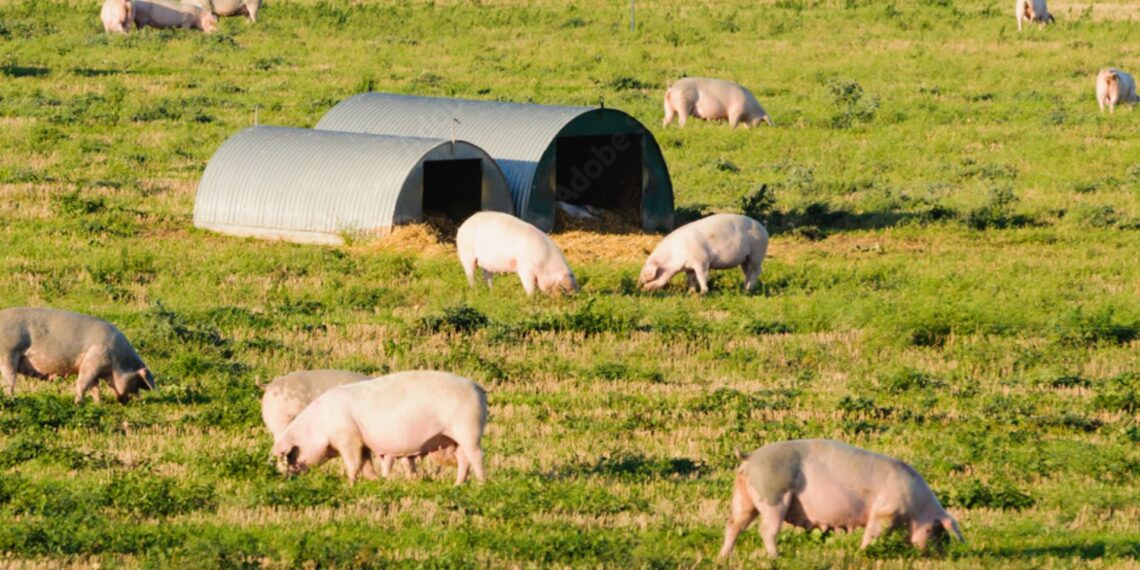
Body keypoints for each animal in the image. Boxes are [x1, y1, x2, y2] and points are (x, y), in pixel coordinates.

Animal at [0, 307, 155, 404]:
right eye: (135, 381)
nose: (133, 402)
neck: (116, 361)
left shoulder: (96, 369)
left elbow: (94, 388)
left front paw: (99, 404)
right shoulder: (93, 360)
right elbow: (83, 383)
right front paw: (77, 404)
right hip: (8, 353)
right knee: (9, 383)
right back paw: (11, 399)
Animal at [271, 370, 486, 486]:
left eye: (292, 455)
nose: (288, 478)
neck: (320, 424)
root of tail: (478, 387)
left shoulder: (348, 437)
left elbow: (353, 463)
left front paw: (350, 484)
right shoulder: (363, 442)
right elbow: (366, 464)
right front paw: (377, 481)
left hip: (469, 428)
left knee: (477, 456)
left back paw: (481, 484)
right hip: (455, 438)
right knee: (463, 459)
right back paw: (457, 485)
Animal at [638, 213, 768, 294]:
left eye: (653, 277)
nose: (641, 288)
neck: (676, 253)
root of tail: (764, 230)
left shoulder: (702, 261)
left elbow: (701, 276)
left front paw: (703, 292)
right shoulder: (688, 267)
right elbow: (691, 278)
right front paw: (690, 292)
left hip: (757, 253)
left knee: (757, 271)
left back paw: (749, 290)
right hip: (745, 259)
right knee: (747, 273)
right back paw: (744, 289)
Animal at [719, 439, 965, 559]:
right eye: (934, 530)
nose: (939, 555)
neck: (917, 507)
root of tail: (750, 458)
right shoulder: (884, 512)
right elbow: (873, 533)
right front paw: (863, 553)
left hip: (745, 497)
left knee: (733, 524)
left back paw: (724, 557)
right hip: (774, 495)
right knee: (766, 530)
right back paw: (776, 558)